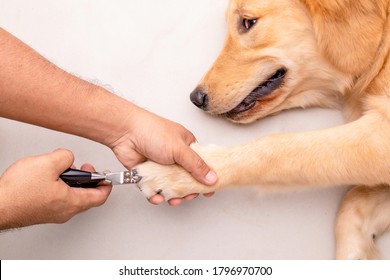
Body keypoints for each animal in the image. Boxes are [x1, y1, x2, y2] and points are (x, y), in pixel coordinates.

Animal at [136, 0, 390, 260]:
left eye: (248, 22)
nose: (196, 98)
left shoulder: (381, 135)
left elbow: (275, 148)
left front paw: (177, 172)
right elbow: (351, 205)